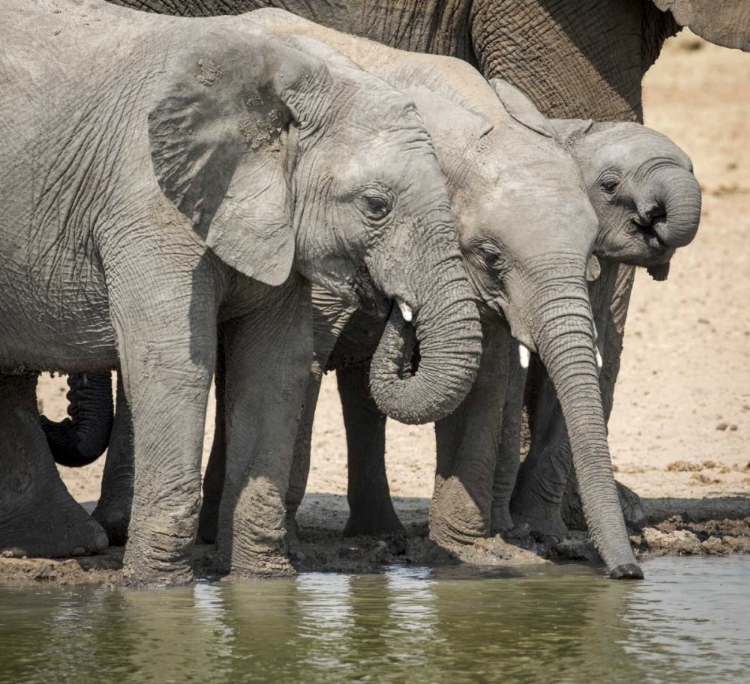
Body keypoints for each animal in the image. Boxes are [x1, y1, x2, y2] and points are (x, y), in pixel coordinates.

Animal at [0, 0, 484, 584]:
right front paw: (155, 591)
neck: (293, 77)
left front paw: (262, 584)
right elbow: (174, 364)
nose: (396, 308)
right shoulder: (145, 204)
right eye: (375, 205)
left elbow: (274, 366)